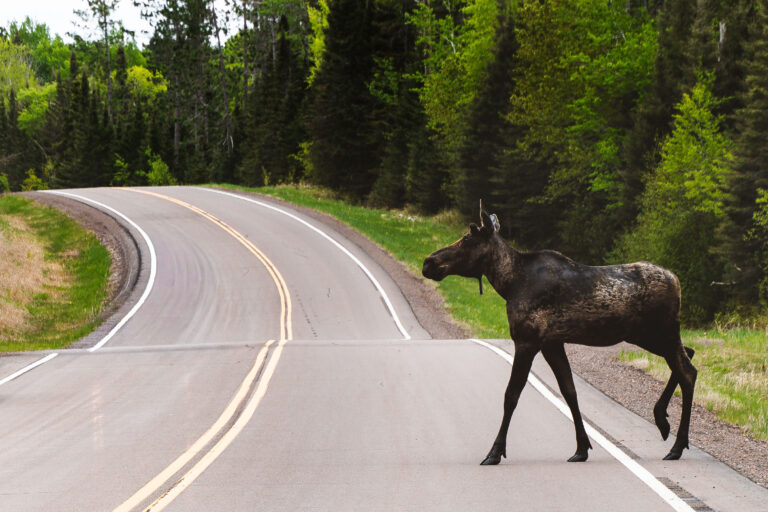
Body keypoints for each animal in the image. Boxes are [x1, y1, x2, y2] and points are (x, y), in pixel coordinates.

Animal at [421, 203, 697, 465]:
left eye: (468, 237)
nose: (428, 262)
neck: (509, 283)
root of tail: (677, 281)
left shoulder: (527, 340)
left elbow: (511, 394)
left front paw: (495, 452)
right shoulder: (552, 343)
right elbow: (569, 391)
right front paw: (581, 448)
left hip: (661, 332)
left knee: (688, 371)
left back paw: (676, 445)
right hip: (645, 336)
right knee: (690, 355)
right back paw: (662, 420)